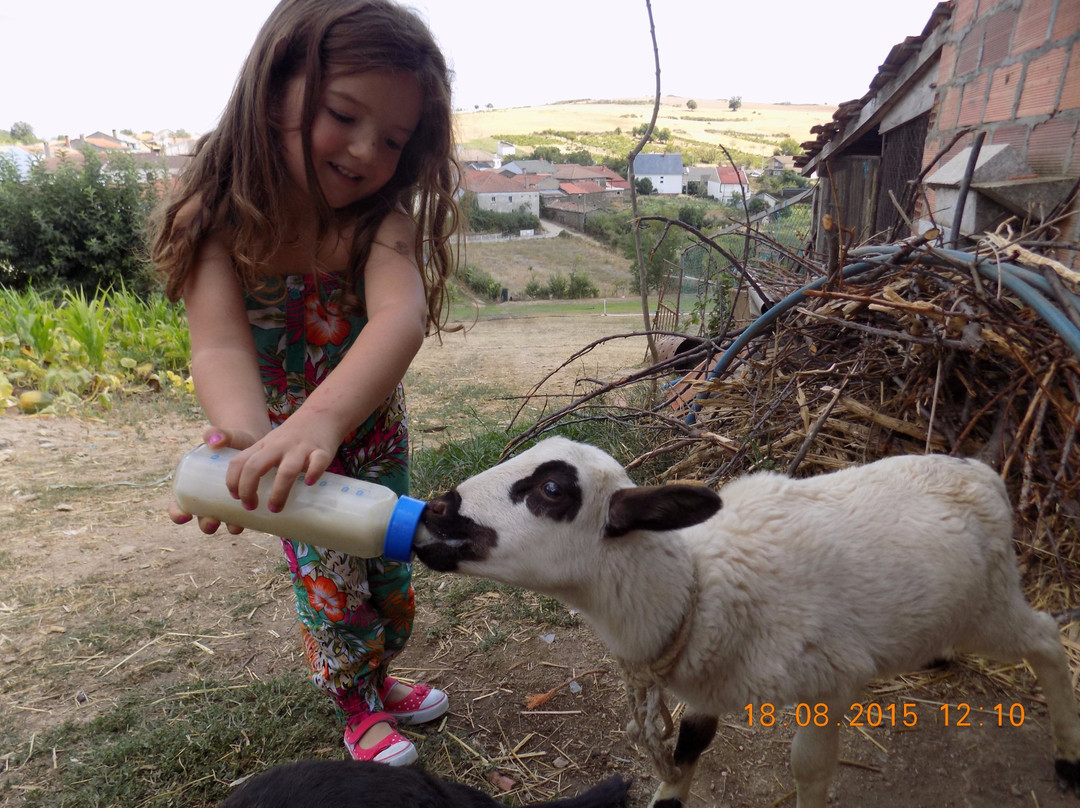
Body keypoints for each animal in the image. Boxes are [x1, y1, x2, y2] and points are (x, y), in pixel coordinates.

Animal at [413, 436, 1080, 808]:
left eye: (552, 490)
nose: (430, 515)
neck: (697, 586)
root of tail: (981, 473)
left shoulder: (828, 684)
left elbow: (809, 772)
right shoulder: (709, 680)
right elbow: (688, 747)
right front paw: (668, 795)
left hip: (988, 606)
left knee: (1047, 639)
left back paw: (1067, 758)